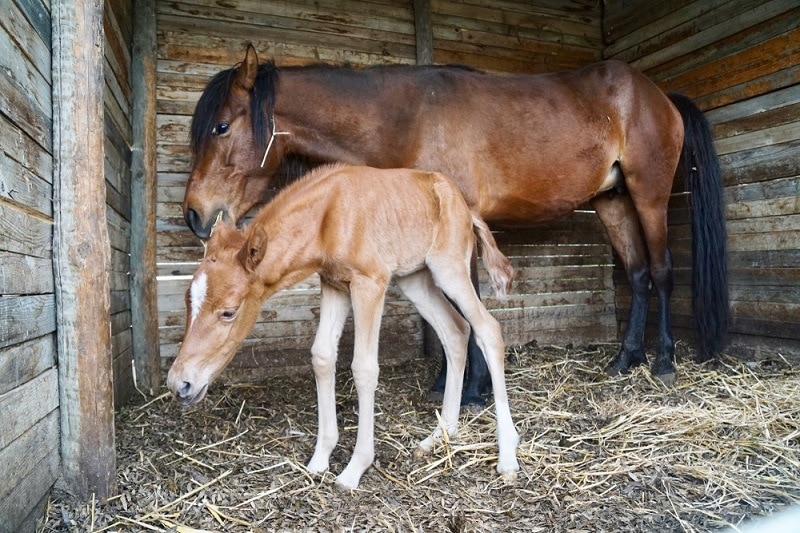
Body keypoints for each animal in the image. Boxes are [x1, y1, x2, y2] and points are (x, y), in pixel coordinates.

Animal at [166, 164, 520, 488]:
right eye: (187, 302)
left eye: (228, 312)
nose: (179, 383)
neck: (330, 215)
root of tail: (466, 207)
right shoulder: (333, 283)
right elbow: (322, 356)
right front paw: (319, 459)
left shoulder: (369, 283)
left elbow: (364, 368)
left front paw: (354, 469)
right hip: (415, 278)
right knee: (456, 331)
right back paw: (439, 436)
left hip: (448, 268)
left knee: (488, 329)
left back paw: (507, 457)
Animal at [183, 46, 732, 400]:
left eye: (221, 126)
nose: (193, 213)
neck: (409, 117)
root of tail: (660, 96)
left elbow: (470, 304)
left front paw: (473, 389)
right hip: (612, 201)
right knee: (638, 275)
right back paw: (625, 359)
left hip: (648, 195)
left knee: (661, 271)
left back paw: (663, 362)